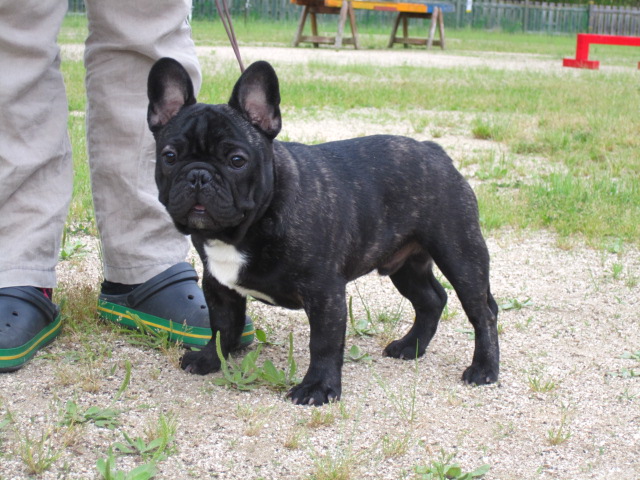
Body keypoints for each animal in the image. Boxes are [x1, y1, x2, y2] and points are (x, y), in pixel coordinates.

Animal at [146, 58, 499, 405]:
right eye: (169, 156)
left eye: (236, 160)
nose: (198, 176)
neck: (244, 229)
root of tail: (435, 151)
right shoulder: (219, 284)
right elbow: (222, 326)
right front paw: (210, 359)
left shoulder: (325, 292)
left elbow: (324, 343)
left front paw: (318, 387)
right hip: (406, 264)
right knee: (431, 300)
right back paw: (409, 347)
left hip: (460, 253)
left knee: (482, 311)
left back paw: (484, 369)